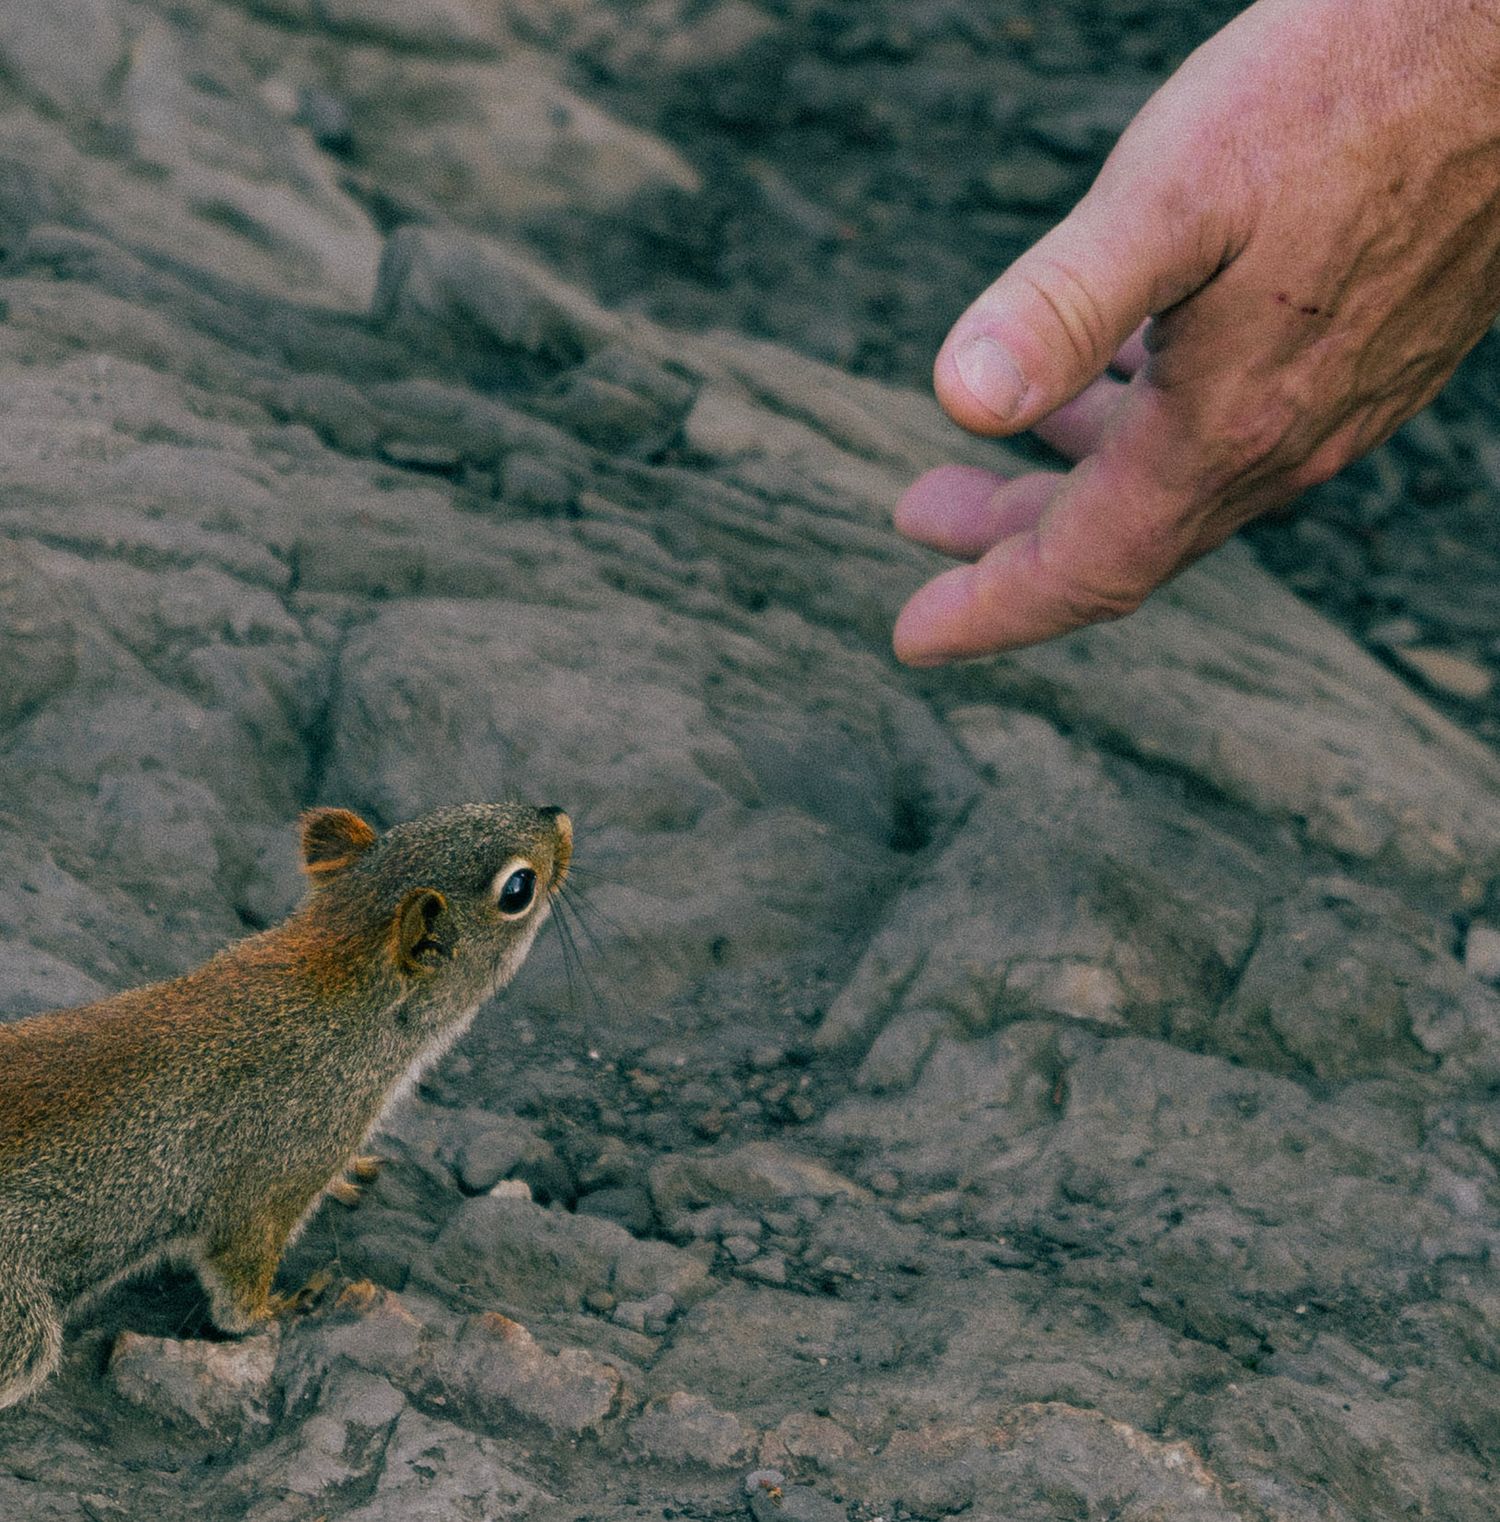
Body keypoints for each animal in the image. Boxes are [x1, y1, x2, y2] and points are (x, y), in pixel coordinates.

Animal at [0, 800, 571, 1411]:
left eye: (445, 811)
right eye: (518, 889)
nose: (559, 817)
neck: (336, 972)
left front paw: (348, 1177)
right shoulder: (281, 1167)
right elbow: (238, 1278)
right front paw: (280, 1306)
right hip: (21, 1321)